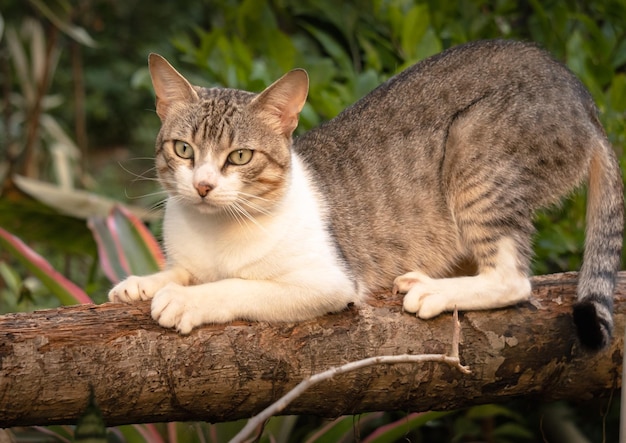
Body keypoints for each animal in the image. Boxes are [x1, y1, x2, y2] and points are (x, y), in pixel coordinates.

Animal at [109, 39, 620, 350]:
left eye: (239, 157)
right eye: (183, 149)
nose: (203, 185)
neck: (213, 230)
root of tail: (584, 99)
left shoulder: (328, 281)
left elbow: (238, 285)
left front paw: (186, 299)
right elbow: (183, 271)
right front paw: (144, 282)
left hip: (475, 147)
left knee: (513, 278)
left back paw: (434, 290)